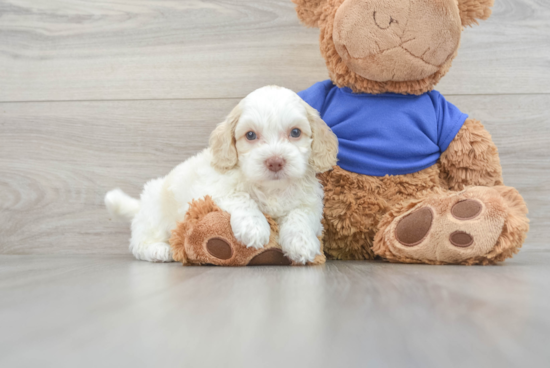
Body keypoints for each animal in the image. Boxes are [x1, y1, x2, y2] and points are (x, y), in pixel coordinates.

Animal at [105, 85, 338, 264]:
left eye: (295, 132)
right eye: (250, 135)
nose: (275, 161)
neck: (271, 188)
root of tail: (141, 206)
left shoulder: (311, 202)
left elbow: (301, 215)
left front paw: (302, 244)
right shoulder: (214, 189)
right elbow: (241, 197)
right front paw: (255, 227)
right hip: (155, 214)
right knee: (138, 243)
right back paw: (158, 250)